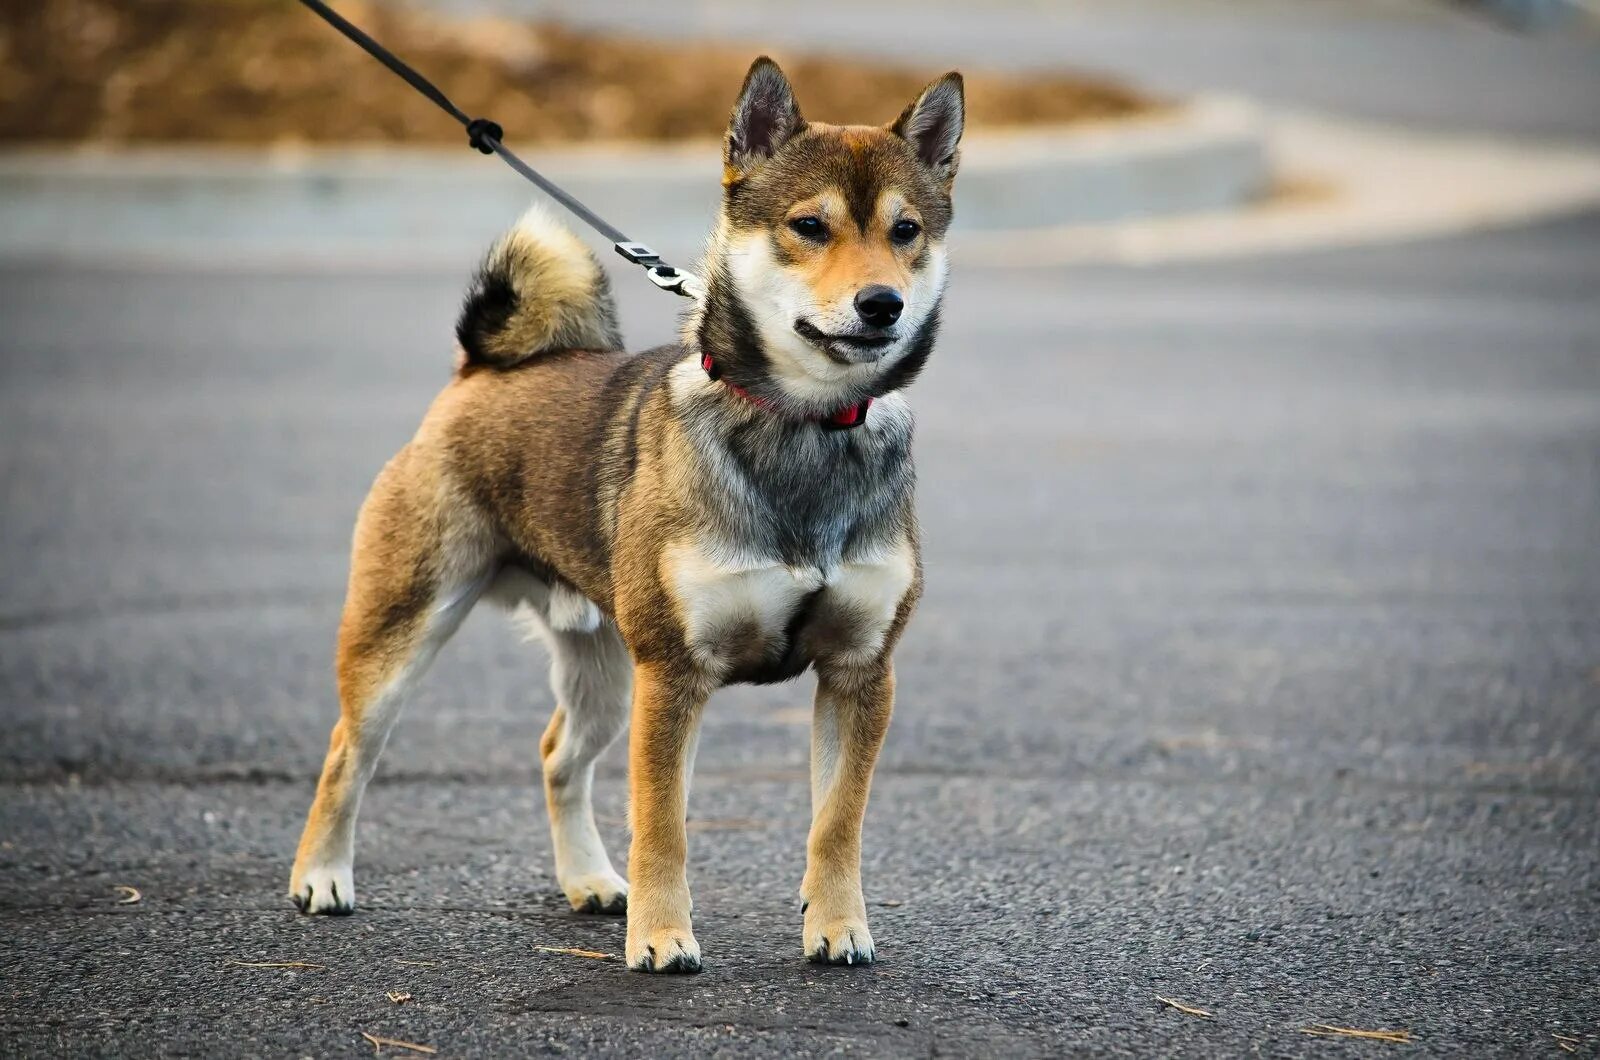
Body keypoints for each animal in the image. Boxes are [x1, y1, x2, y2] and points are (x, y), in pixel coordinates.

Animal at [288, 56, 960, 973]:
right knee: (347, 749)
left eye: (906, 231)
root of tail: (478, 373)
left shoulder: (859, 670)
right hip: (407, 631)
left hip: (604, 672)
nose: (882, 302)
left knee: (556, 758)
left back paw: (590, 881)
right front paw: (664, 936)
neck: (802, 427)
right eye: (809, 226)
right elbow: (662, 823)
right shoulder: (671, 674)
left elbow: (837, 822)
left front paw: (836, 926)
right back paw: (321, 876)